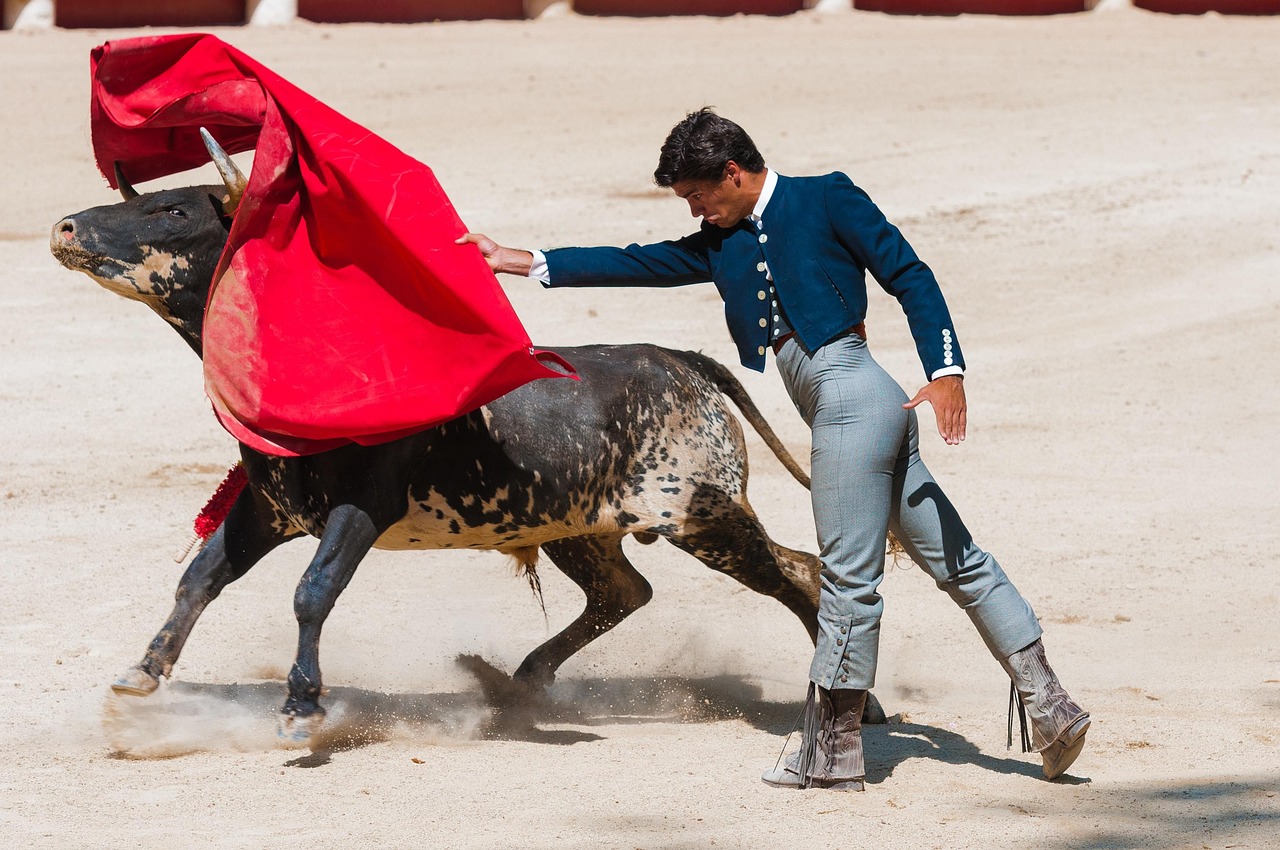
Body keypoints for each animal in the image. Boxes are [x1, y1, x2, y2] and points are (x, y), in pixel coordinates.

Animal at [51, 135, 884, 744]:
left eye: (172, 212)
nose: (65, 227)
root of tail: (680, 360)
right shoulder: (269, 508)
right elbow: (202, 577)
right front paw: (141, 675)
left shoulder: (360, 509)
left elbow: (311, 591)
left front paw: (300, 710)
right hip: (578, 526)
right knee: (625, 591)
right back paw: (516, 684)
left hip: (703, 514)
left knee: (797, 572)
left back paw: (856, 706)